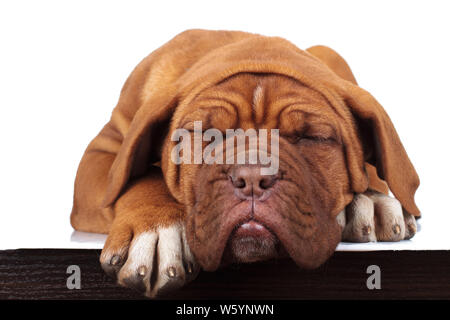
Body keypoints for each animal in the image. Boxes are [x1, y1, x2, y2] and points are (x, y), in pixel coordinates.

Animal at [69, 29, 418, 298]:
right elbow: (140, 179)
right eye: (206, 135)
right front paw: (156, 228)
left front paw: (371, 198)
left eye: (311, 137)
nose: (252, 176)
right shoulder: (103, 154)